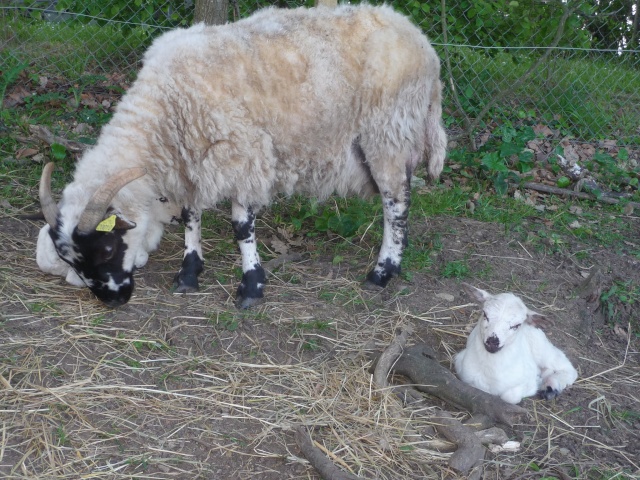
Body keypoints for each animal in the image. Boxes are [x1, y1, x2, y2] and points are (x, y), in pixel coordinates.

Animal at [35, 4, 444, 308]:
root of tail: (422, 40)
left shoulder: (243, 153)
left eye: (106, 248)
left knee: (397, 204)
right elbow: (191, 215)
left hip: (388, 133)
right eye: (71, 259)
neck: (164, 107)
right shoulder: (192, 159)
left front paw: (251, 286)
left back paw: (382, 272)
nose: (112, 300)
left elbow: (241, 227)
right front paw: (188, 273)